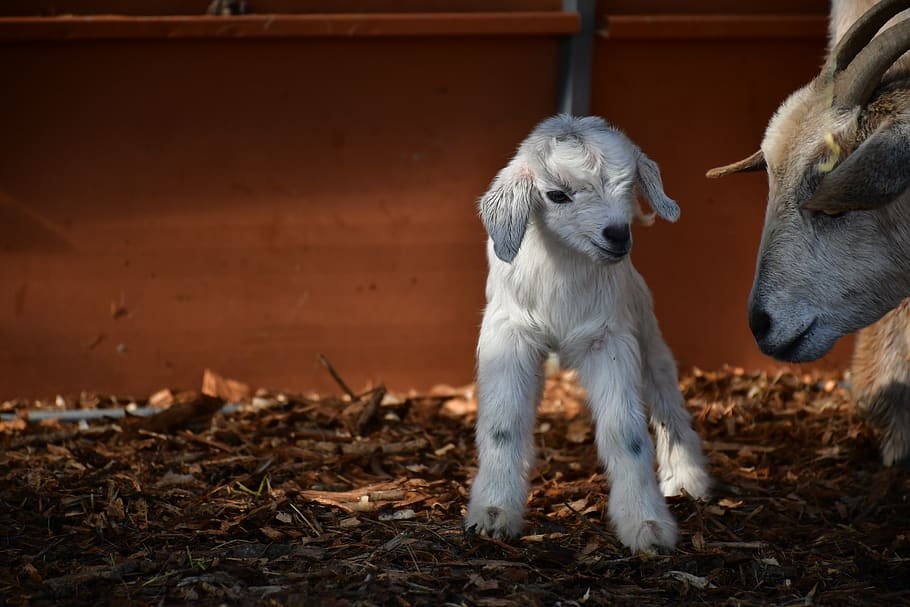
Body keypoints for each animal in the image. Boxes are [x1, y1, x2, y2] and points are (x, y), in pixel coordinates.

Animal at [466, 115, 710, 553]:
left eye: (628, 186)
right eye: (556, 195)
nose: (617, 235)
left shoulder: (610, 340)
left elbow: (625, 433)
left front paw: (647, 525)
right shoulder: (509, 337)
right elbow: (503, 423)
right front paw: (493, 513)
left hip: (646, 330)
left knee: (665, 396)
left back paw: (687, 479)